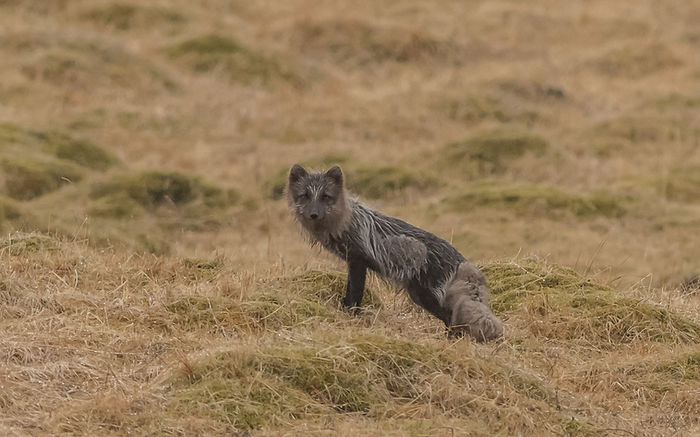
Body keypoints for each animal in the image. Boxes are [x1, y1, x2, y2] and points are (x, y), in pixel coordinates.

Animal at [287, 164, 503, 342]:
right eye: (305, 196)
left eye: (325, 196)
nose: (313, 214)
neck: (345, 220)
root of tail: (461, 262)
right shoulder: (353, 262)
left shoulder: (357, 260)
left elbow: (355, 294)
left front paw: (350, 315)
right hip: (420, 295)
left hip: (426, 296)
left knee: (451, 318)